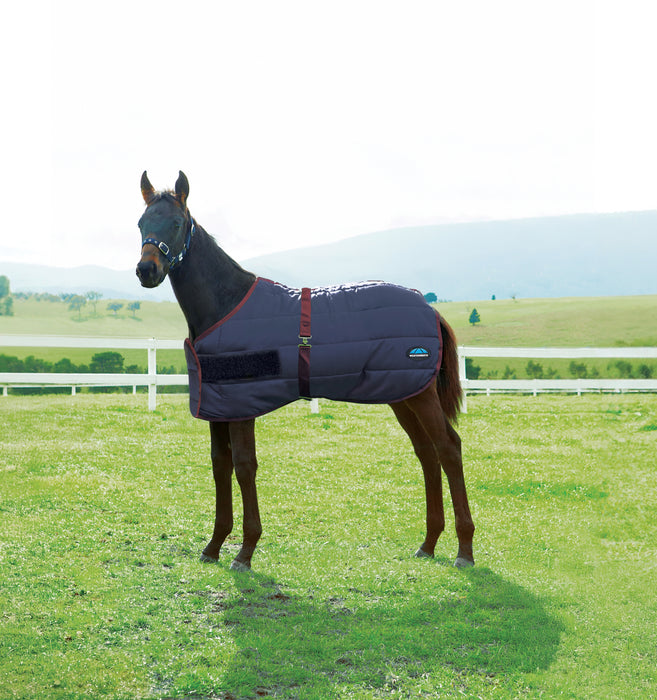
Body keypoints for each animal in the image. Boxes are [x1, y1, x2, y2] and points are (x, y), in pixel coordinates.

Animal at [136, 171, 475, 571]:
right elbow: (220, 466)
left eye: (176, 223)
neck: (226, 305)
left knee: (448, 448)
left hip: (420, 397)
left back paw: (465, 550)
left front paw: (245, 551)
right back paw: (428, 543)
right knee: (427, 453)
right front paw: (214, 546)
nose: (147, 270)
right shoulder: (219, 407)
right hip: (403, 395)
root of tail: (430, 308)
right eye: (141, 223)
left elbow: (244, 466)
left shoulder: (242, 408)